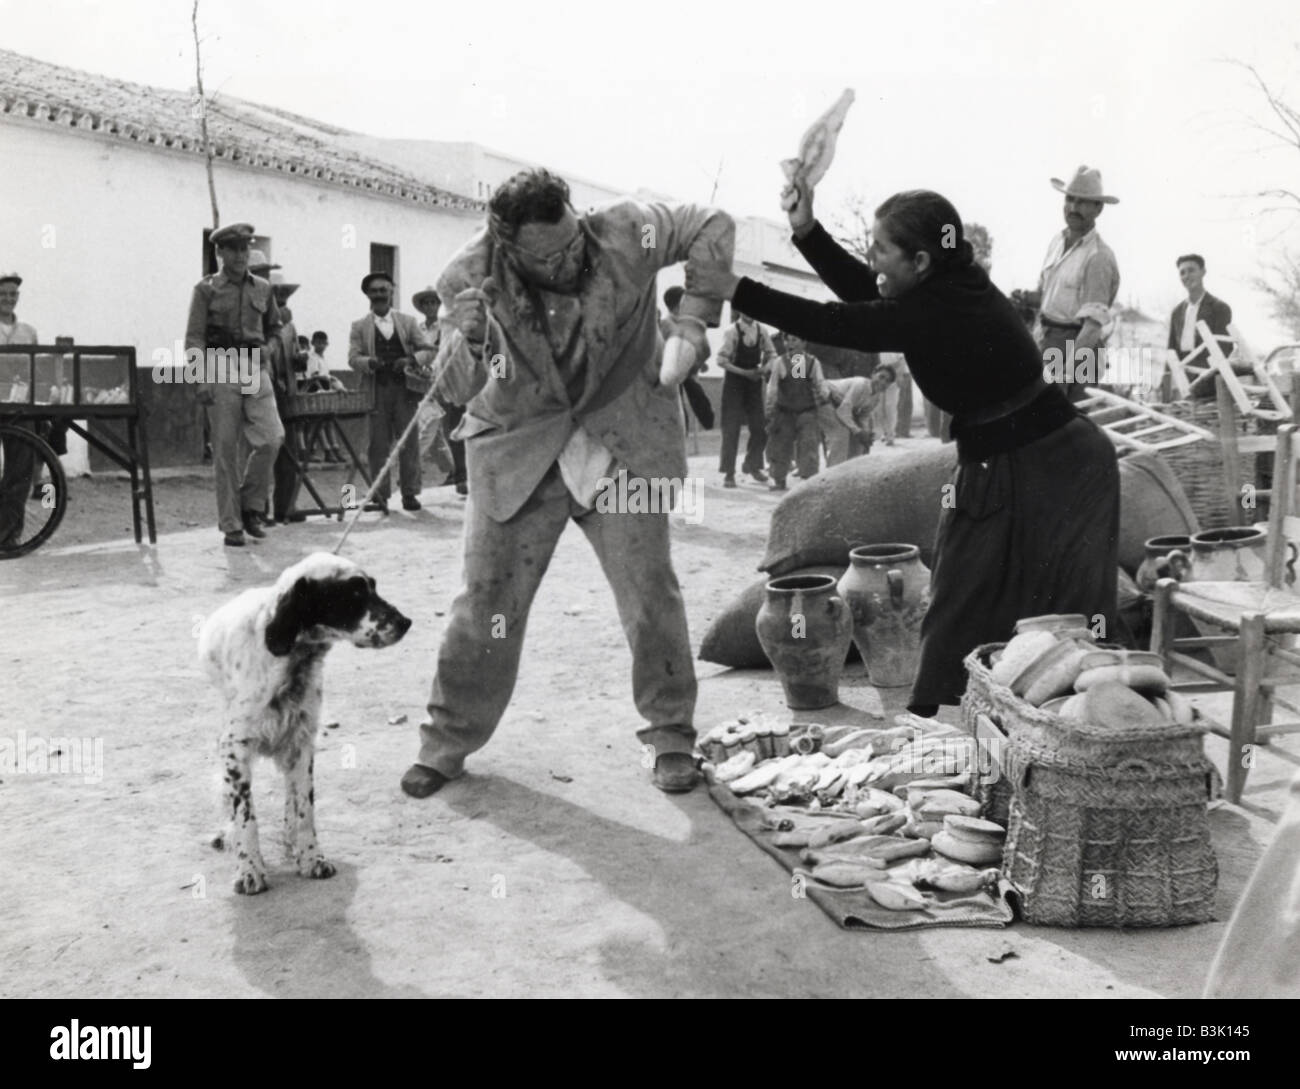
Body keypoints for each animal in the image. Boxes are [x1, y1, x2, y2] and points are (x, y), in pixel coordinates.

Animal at [197, 553, 408, 894]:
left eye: (373, 587)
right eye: (354, 593)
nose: (405, 623)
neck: (292, 661)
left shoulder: (302, 742)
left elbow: (304, 808)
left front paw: (311, 857)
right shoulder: (234, 748)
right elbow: (245, 816)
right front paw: (250, 869)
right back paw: (226, 834)